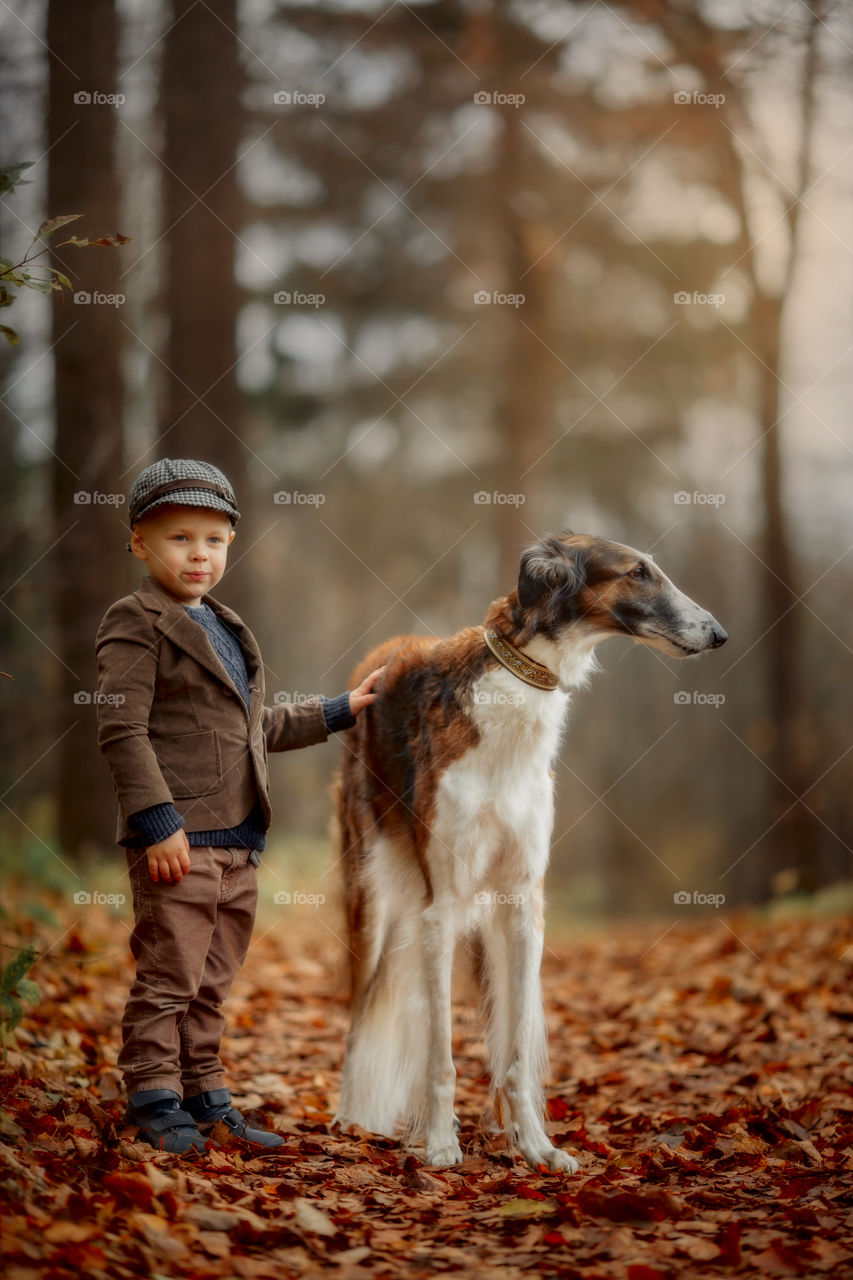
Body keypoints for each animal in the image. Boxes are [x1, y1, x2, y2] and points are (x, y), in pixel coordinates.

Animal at [333, 529, 722, 1172]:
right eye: (637, 572)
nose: (718, 634)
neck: (514, 689)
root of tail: (382, 651)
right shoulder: (445, 906)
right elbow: (441, 1055)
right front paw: (441, 1144)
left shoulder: (520, 904)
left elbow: (513, 1050)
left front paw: (537, 1146)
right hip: (373, 894)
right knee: (361, 1009)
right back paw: (349, 1117)